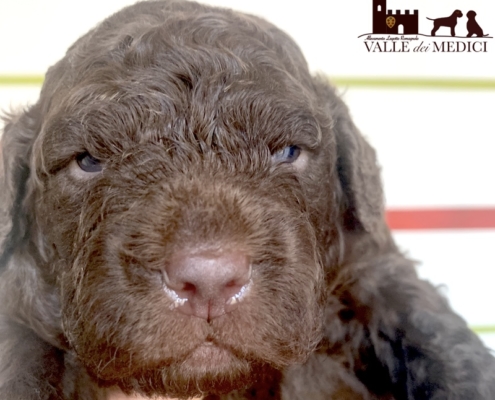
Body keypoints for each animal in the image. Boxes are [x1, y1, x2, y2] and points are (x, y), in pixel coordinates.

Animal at [0, 0, 495, 400]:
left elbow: (430, 328)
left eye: (288, 152)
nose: (209, 280)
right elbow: (18, 358)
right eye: (88, 161)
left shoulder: (369, 264)